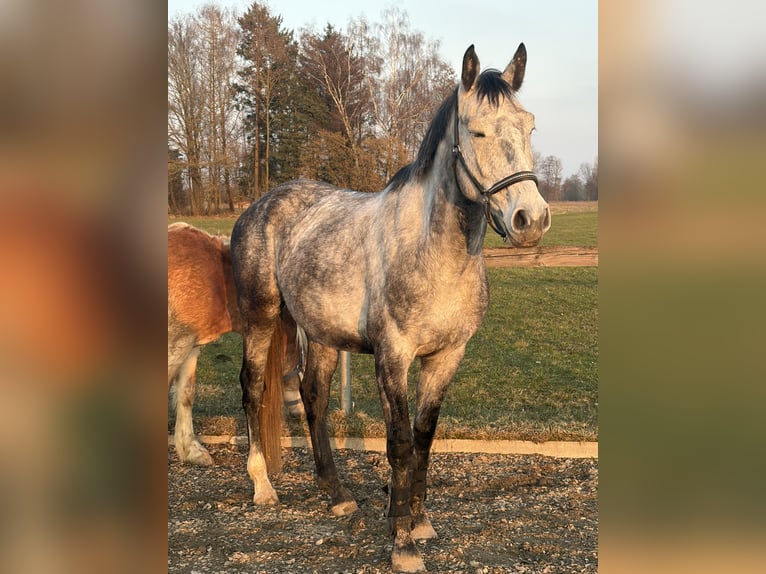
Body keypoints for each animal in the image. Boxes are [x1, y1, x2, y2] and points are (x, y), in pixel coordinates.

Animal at [167, 222, 304, 471]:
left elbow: (186, 394)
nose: (299, 409)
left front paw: (190, 450)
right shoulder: (176, 346)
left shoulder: (190, 347)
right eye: (299, 355)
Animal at [230, 43, 550, 572]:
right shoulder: (392, 357)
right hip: (261, 318)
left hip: (319, 333)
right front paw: (402, 542)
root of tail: (261, 204)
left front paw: (419, 522)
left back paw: (336, 494)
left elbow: (423, 437)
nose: (531, 219)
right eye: (477, 131)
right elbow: (398, 442)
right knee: (254, 387)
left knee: (313, 397)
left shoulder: (446, 357)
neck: (433, 254)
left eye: (529, 127)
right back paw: (261, 486)